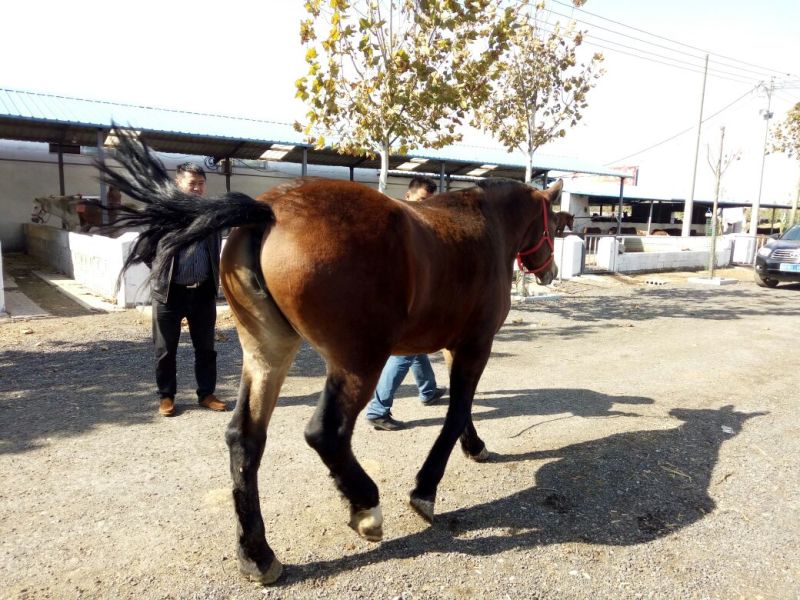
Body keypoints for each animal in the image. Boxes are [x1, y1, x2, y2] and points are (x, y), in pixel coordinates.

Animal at [97, 128, 560, 584]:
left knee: (244, 439)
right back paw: (365, 507)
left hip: (268, 354)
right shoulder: (475, 345)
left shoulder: (454, 347)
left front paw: (474, 446)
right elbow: (456, 411)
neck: (484, 225)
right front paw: (425, 491)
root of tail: (269, 211)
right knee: (326, 433)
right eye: (555, 221)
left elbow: (462, 410)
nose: (549, 270)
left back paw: (257, 554)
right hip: (359, 361)